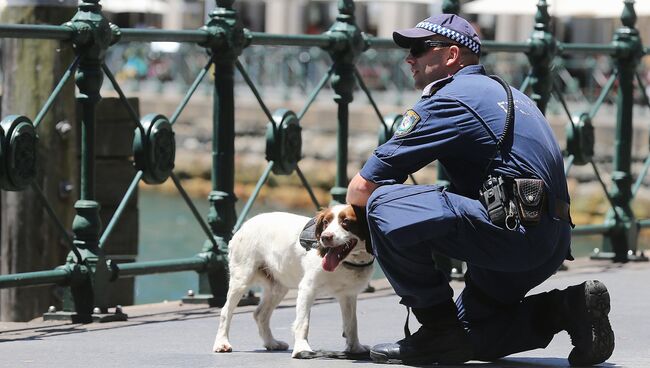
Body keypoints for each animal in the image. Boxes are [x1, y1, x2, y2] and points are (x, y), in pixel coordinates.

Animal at [213, 204, 374, 356]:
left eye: (346, 221)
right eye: (326, 222)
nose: (325, 237)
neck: (347, 263)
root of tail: (245, 225)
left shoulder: (348, 294)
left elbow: (352, 324)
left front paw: (355, 348)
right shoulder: (307, 288)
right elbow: (303, 322)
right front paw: (302, 349)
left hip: (277, 288)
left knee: (260, 314)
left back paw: (271, 343)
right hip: (242, 279)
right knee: (226, 311)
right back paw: (222, 343)